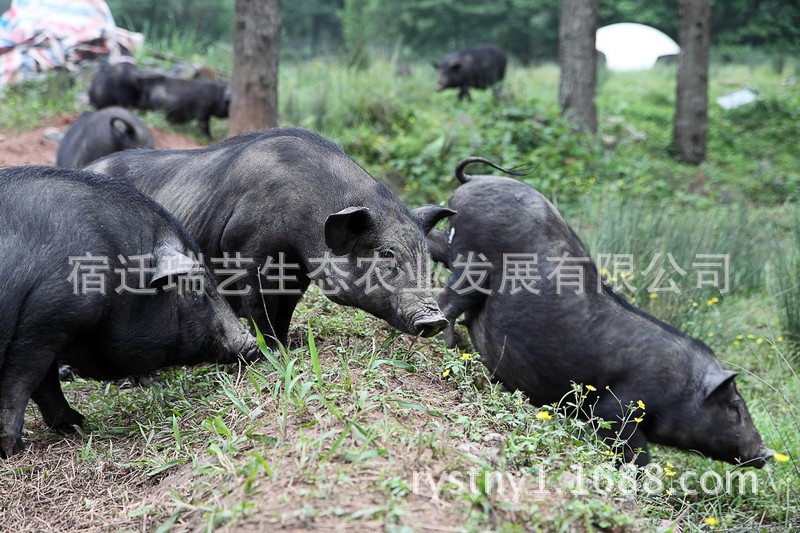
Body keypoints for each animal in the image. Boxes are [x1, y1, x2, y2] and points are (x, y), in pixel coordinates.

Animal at [0, 166, 260, 458]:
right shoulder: (45, 325)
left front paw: (77, 423)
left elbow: (45, 386)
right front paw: (13, 449)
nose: (253, 346)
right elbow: (22, 384)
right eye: (198, 286)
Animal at [86, 127, 456, 348]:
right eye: (386, 255)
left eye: (425, 257)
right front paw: (271, 351)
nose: (435, 319)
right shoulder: (245, 252)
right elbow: (257, 306)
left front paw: (286, 344)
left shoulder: (297, 271)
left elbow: (285, 309)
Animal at [432, 157, 776, 466]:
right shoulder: (616, 411)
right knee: (445, 300)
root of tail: (474, 180)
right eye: (734, 407)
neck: (683, 387)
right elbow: (633, 452)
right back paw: (448, 346)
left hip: (453, 246)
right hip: (472, 263)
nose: (767, 452)